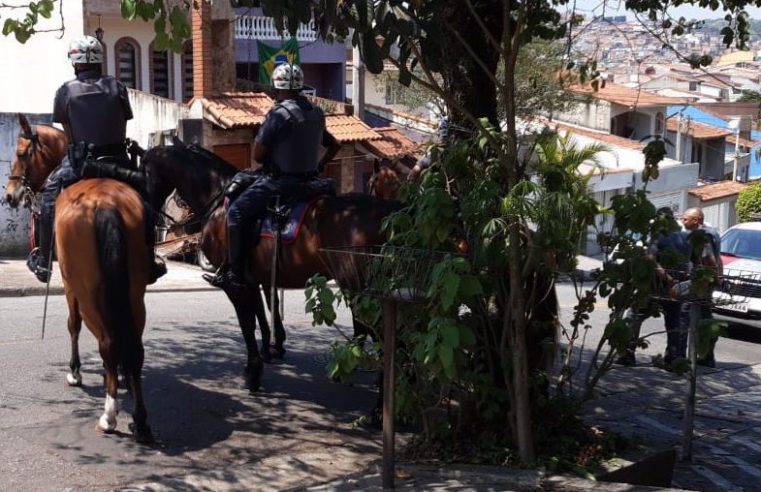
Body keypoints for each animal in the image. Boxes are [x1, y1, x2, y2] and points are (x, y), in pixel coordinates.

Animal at [4, 114, 153, 442]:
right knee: (133, 345)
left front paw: (75, 372)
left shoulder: (70, 285)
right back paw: (140, 420)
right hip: (134, 290)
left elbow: (73, 325)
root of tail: (106, 205)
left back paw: (109, 416)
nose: (9, 194)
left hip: (87, 291)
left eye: (22, 154)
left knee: (106, 340)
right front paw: (121, 377)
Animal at [140, 143, 398, 392]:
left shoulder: (235, 284)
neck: (218, 198)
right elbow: (261, 313)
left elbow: (248, 322)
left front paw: (255, 370)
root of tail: (387, 213)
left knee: (378, 332)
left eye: (143, 169)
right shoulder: (252, 278)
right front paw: (266, 351)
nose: (146, 210)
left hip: (358, 286)